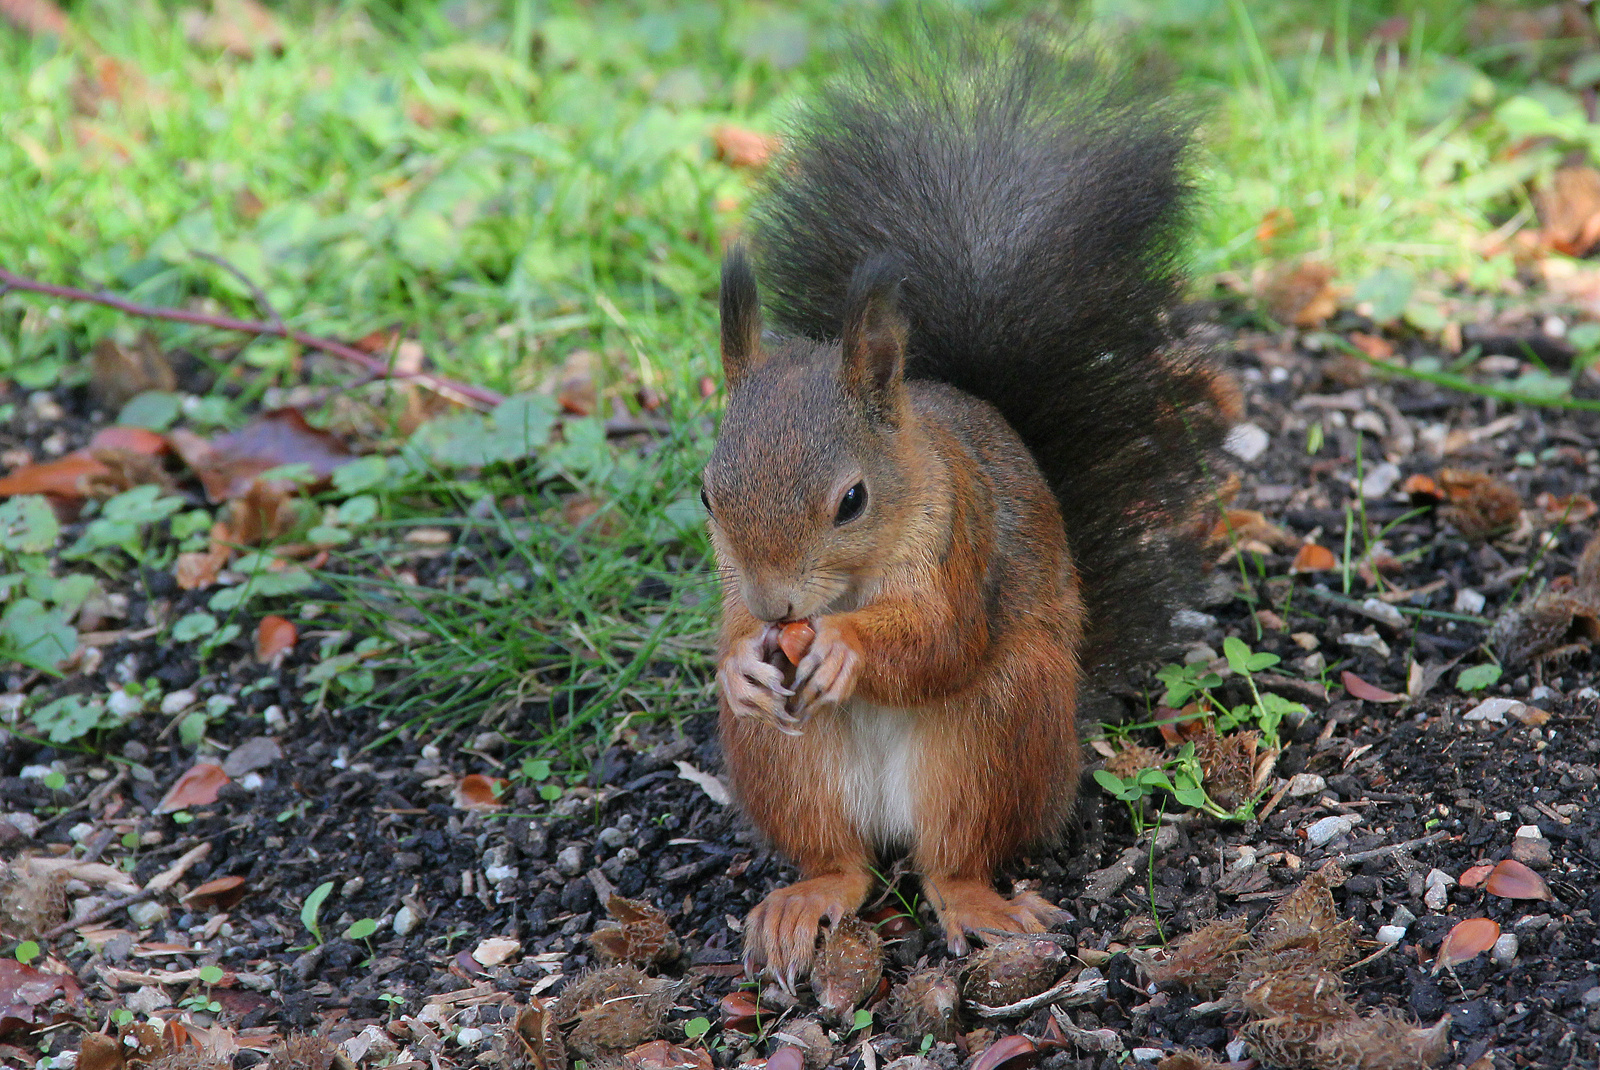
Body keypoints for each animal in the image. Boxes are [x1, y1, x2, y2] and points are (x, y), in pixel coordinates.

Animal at [700, 33, 1235, 985]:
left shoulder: (960, 537)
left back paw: (980, 905)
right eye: (705, 494)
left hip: (995, 729)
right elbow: (729, 636)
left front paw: (847, 648)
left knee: (951, 858)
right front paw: (739, 665)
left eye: (852, 500)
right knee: (845, 864)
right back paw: (809, 896)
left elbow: (943, 639)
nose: (776, 608)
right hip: (785, 761)